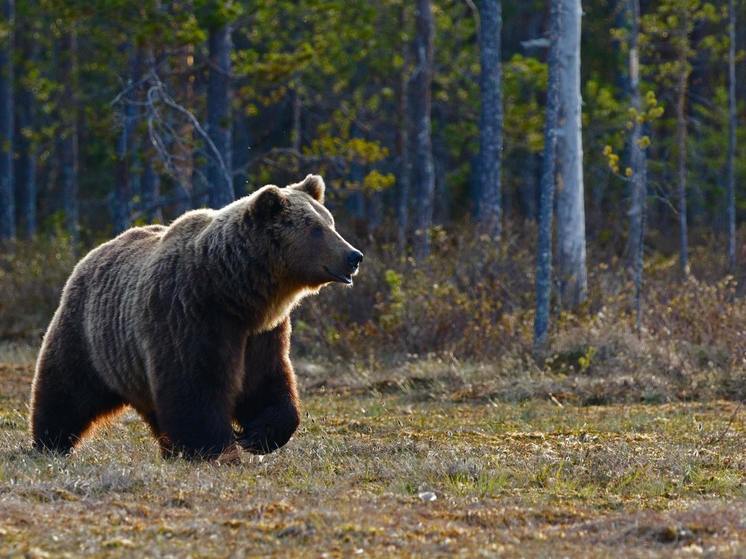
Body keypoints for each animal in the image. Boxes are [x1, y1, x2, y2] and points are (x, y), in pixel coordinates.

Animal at [30, 174, 362, 460]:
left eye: (330, 222)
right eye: (315, 228)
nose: (354, 256)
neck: (234, 292)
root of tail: (92, 253)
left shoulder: (261, 333)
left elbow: (267, 380)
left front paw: (257, 435)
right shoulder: (190, 314)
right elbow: (195, 386)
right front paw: (215, 448)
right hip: (89, 335)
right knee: (66, 389)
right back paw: (49, 442)